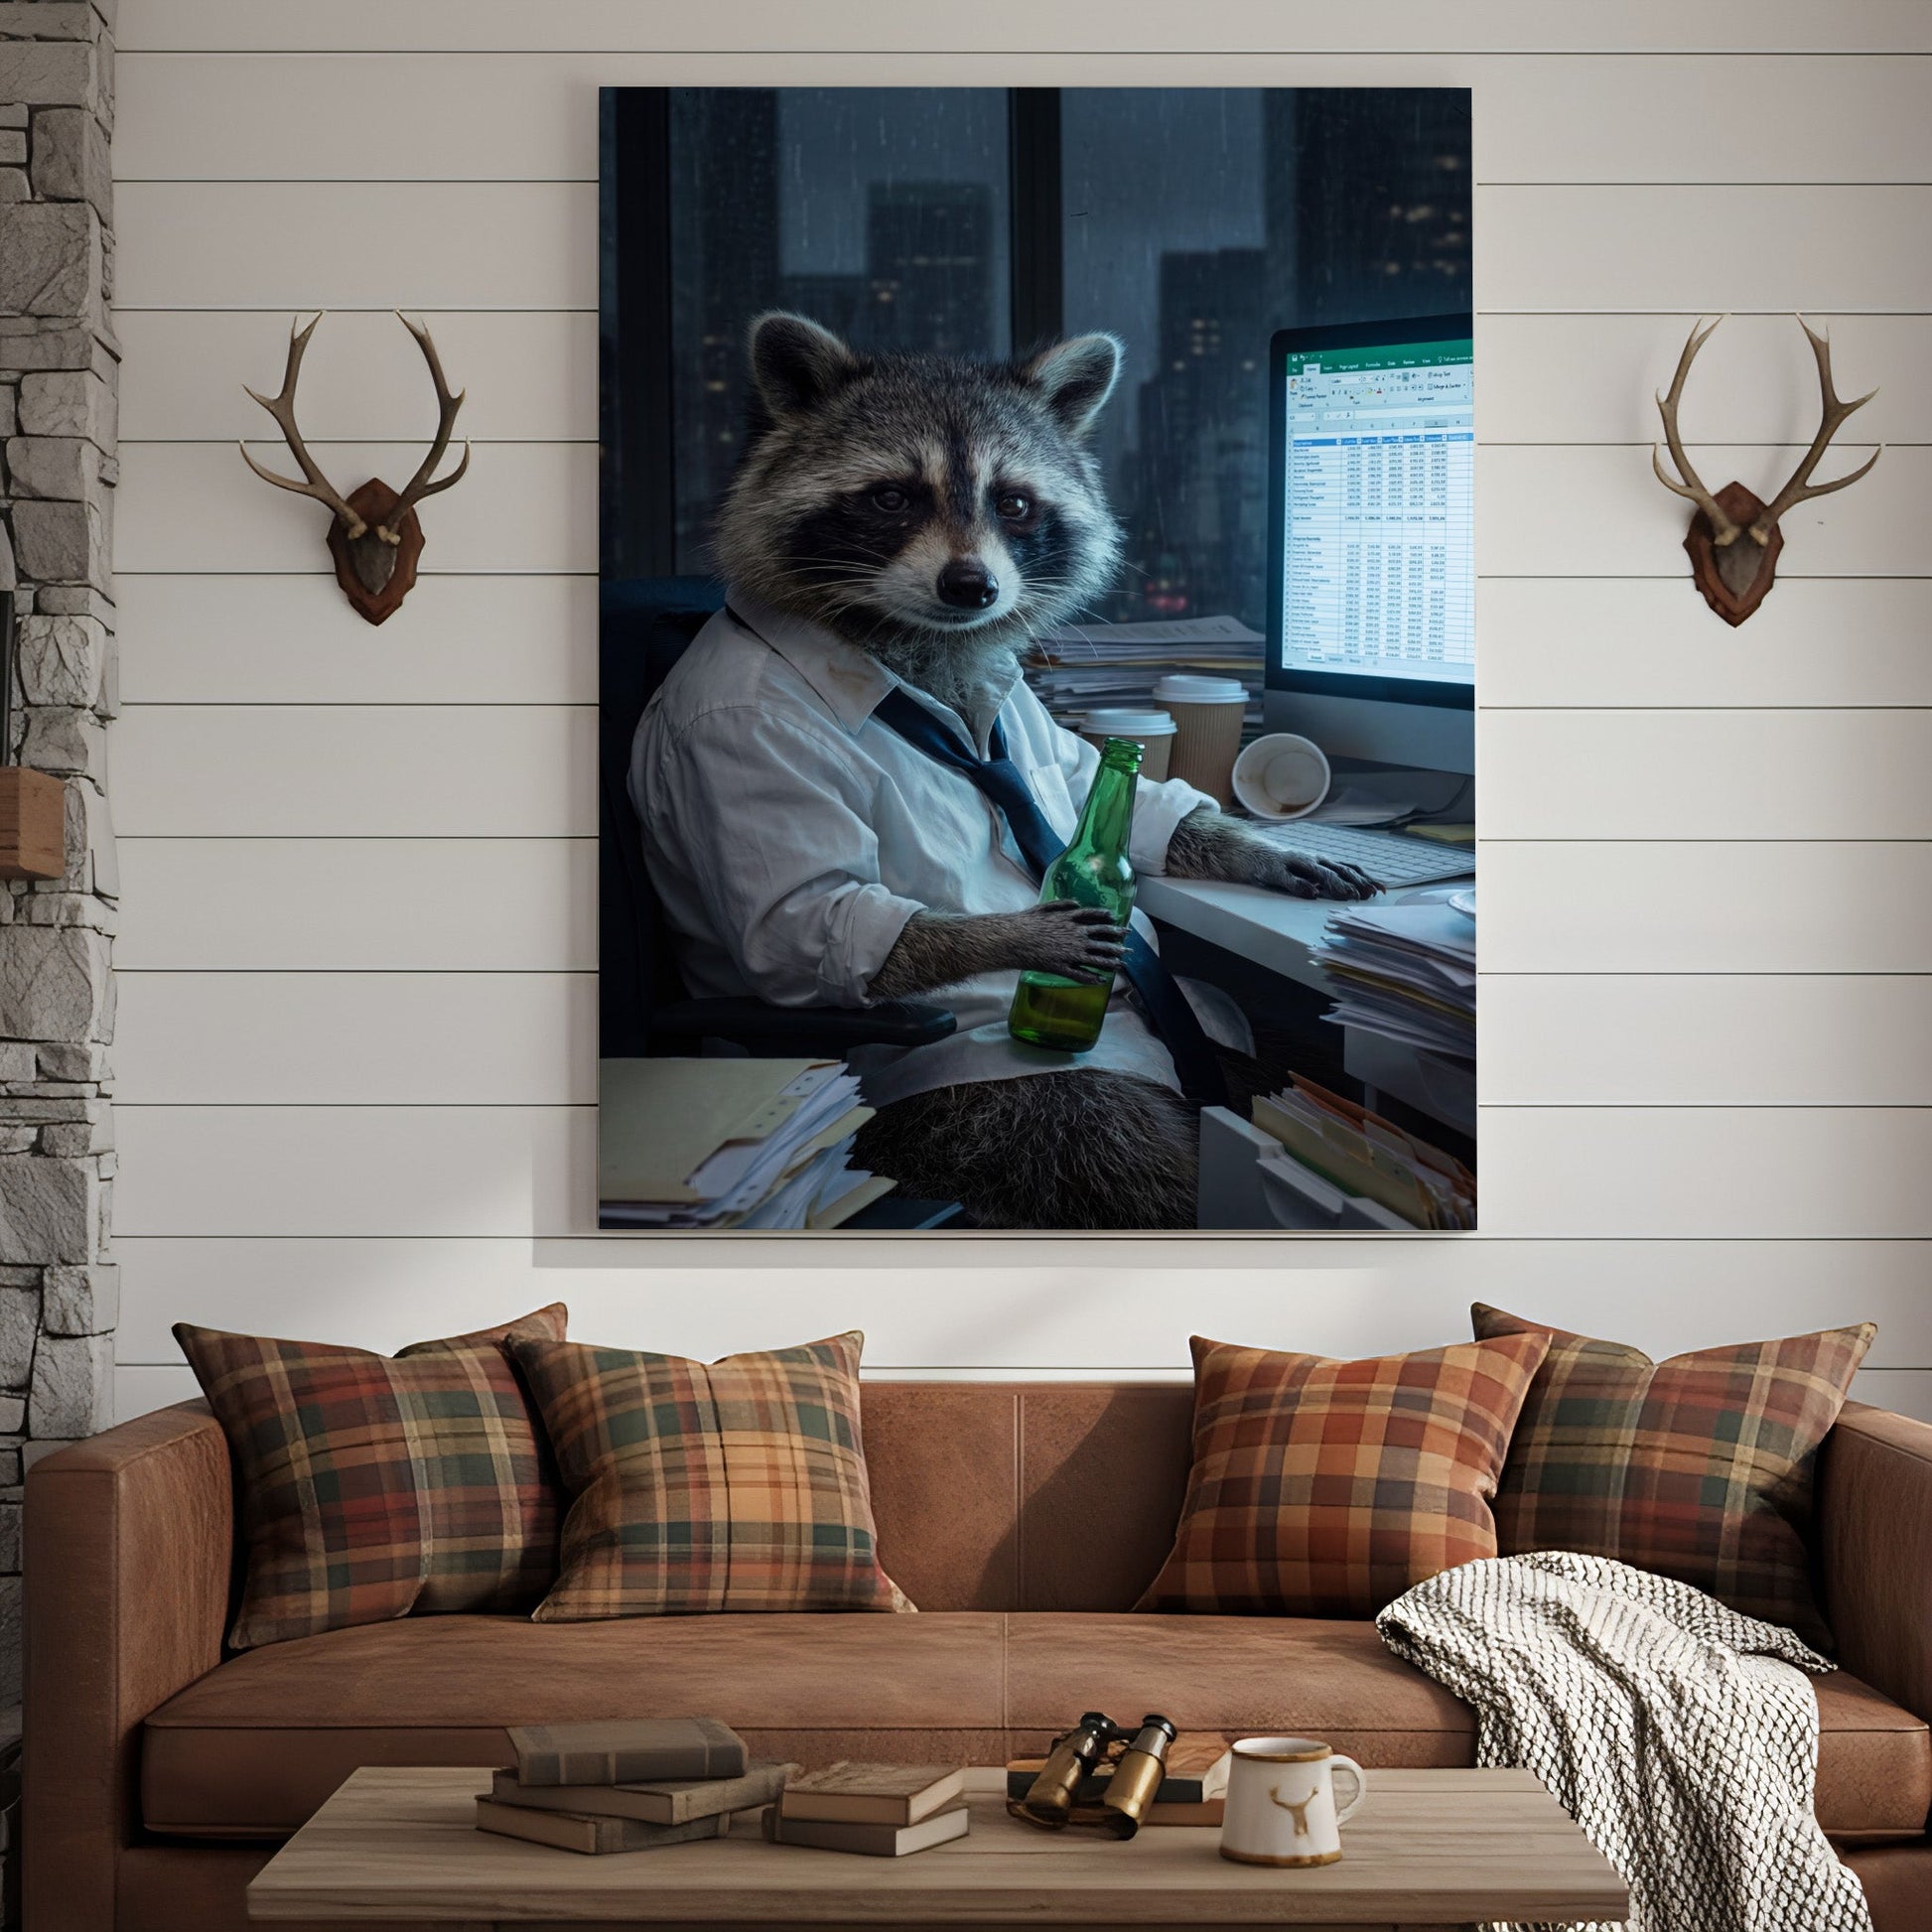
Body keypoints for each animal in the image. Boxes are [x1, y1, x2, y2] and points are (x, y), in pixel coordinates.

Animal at [700, 312, 1378, 1229]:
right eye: (892, 497)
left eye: (1014, 503)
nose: (972, 586)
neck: (918, 659)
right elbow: (815, 922)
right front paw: (1021, 931)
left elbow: (1134, 798)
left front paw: (1258, 846)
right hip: (1026, 1126)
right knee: (1115, 1152)